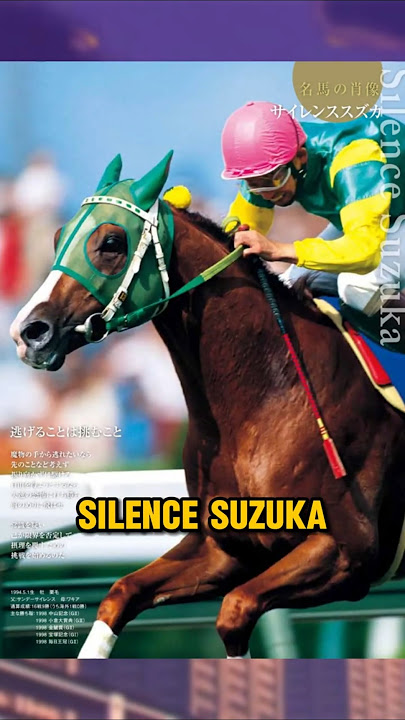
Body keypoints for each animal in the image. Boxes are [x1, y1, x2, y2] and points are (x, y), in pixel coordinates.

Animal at [10, 151, 405, 659]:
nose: (28, 332)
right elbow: (119, 594)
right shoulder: (226, 548)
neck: (266, 398)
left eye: (112, 242)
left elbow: (235, 612)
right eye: (59, 237)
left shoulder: (348, 551)